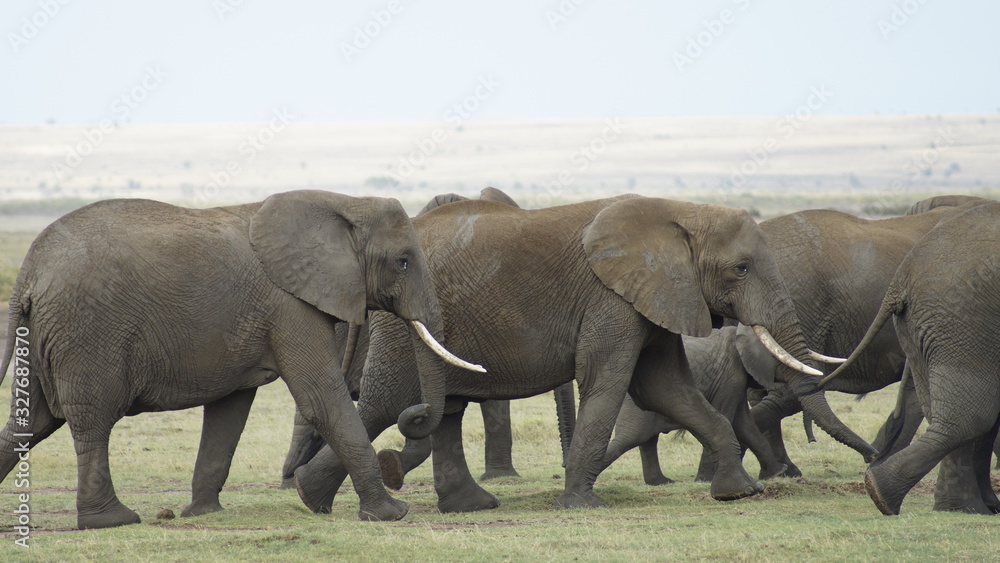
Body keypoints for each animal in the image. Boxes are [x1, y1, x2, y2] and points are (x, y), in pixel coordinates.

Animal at [0, 190, 481, 529]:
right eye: (403, 262)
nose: (415, 413)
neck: (341, 202)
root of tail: (29, 269)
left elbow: (230, 411)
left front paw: (202, 514)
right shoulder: (290, 306)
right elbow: (322, 399)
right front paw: (390, 514)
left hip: (44, 336)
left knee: (31, 423)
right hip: (86, 333)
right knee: (92, 421)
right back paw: (112, 521)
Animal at [292, 194, 876, 515]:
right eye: (742, 269)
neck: (681, 213)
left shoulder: (653, 298)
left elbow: (668, 390)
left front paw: (739, 493)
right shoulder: (611, 300)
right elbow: (609, 383)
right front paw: (583, 503)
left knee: (445, 411)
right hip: (399, 322)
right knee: (386, 406)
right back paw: (322, 499)